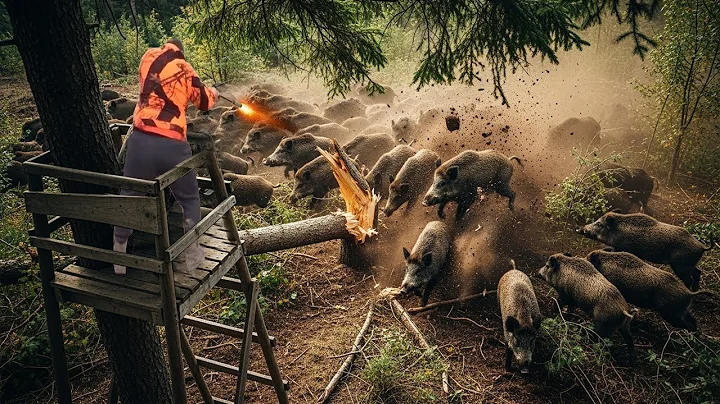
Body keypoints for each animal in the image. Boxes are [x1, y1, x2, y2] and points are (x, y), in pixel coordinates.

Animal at [577, 212, 714, 290]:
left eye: (599, 224)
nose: (579, 228)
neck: (617, 233)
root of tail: (701, 247)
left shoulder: (624, 248)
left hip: (680, 265)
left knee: (690, 278)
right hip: (689, 264)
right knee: (698, 272)